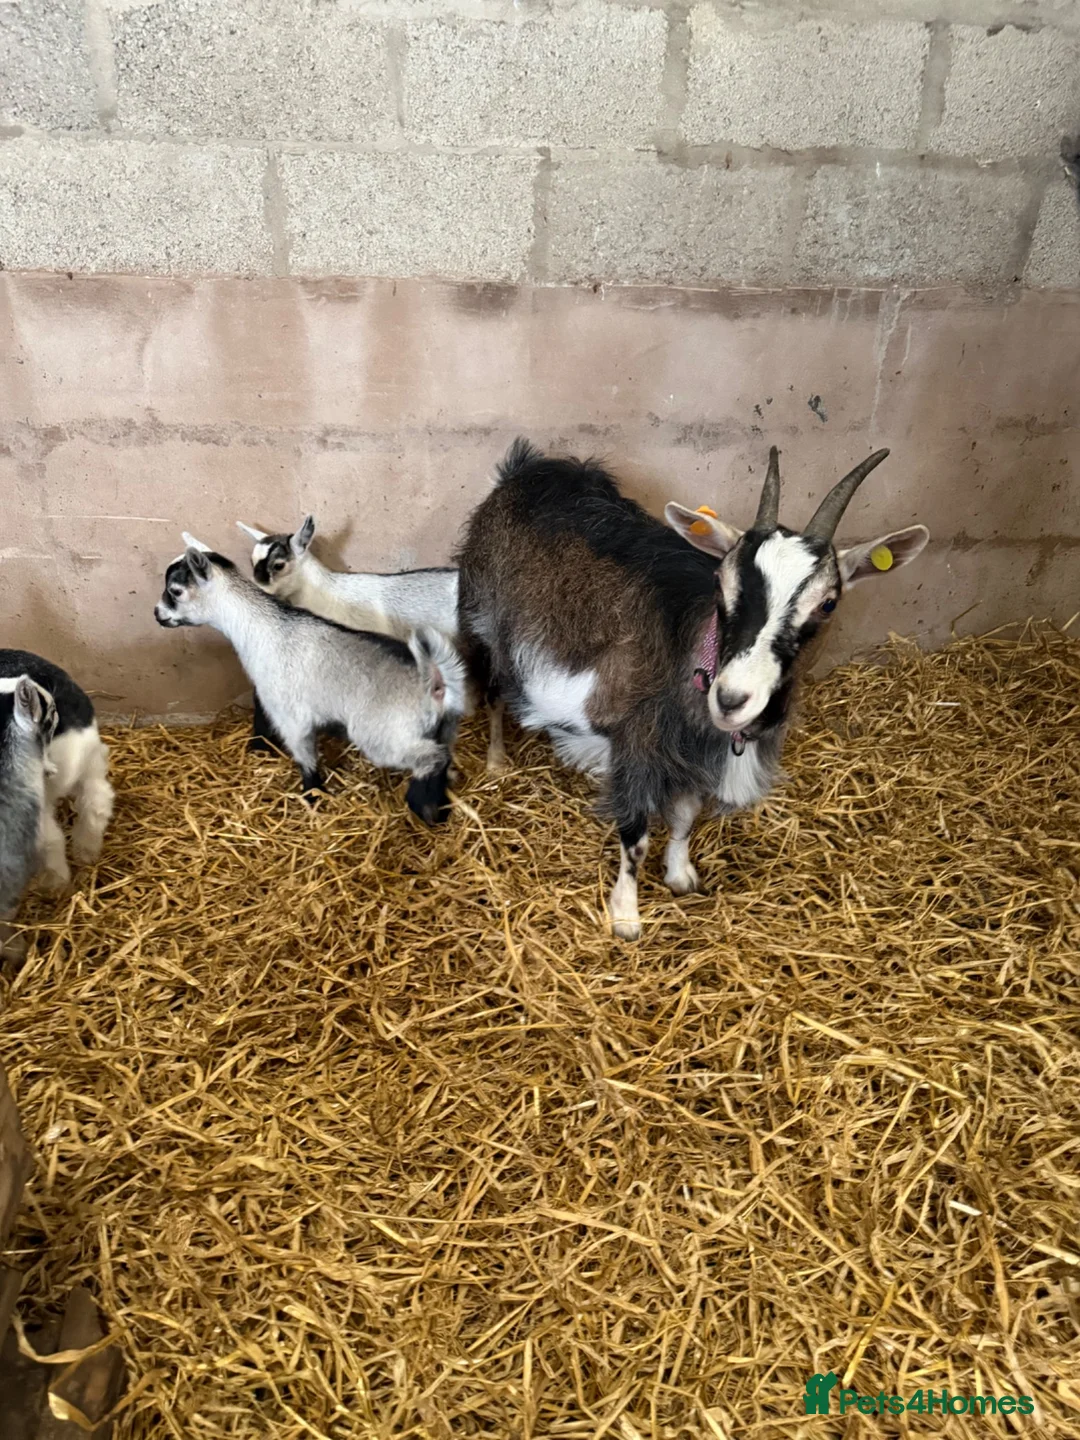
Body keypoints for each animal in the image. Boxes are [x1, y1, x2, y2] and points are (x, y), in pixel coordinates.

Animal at [154, 542, 467, 824]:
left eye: (175, 591)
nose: (158, 614)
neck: (263, 627)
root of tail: (436, 685)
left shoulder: (290, 717)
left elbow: (305, 759)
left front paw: (312, 795)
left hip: (386, 736)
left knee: (432, 760)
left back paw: (421, 807)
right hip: (444, 729)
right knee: (445, 758)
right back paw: (440, 810)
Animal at [456, 439, 929, 939]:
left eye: (828, 603)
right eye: (721, 582)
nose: (731, 699)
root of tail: (525, 469)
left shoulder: (695, 756)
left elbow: (685, 817)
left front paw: (681, 876)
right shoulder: (637, 743)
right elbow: (636, 837)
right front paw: (626, 917)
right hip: (482, 621)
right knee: (493, 692)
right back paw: (496, 762)